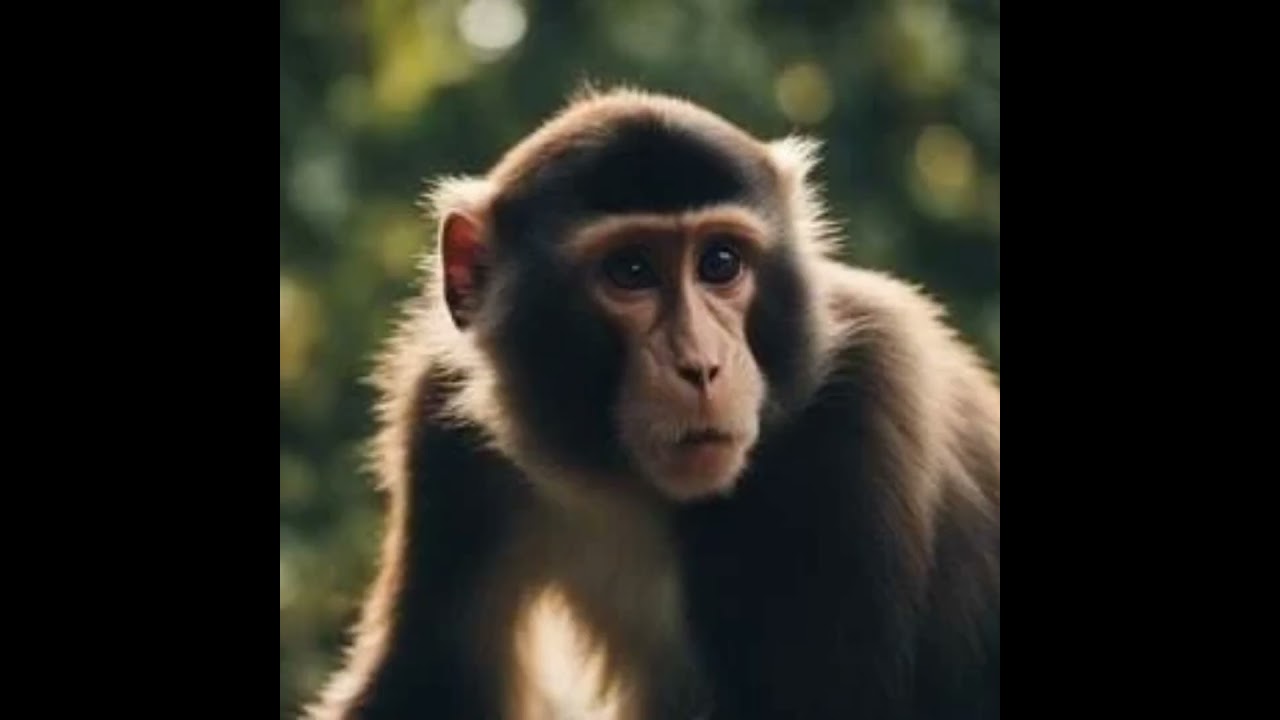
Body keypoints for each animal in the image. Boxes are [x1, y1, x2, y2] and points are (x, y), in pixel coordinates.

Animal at [304, 87, 999, 720]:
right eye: (631, 271)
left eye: (720, 262)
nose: (702, 366)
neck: (630, 487)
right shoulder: (443, 420)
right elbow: (423, 688)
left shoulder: (866, 403)